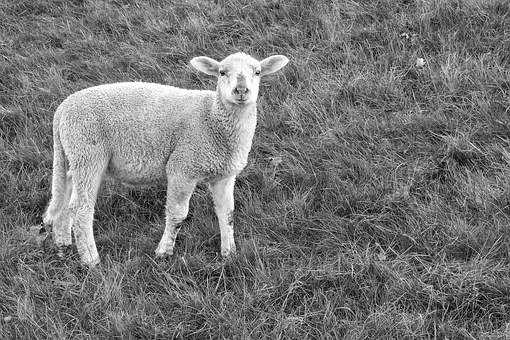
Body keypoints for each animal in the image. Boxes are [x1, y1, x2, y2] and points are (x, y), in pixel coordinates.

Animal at [41, 52, 288, 266]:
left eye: (257, 72)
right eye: (221, 72)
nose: (241, 90)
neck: (212, 118)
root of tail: (62, 109)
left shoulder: (224, 175)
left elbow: (226, 213)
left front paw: (229, 252)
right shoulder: (183, 166)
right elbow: (178, 214)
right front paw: (164, 251)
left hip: (71, 156)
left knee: (64, 198)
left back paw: (63, 243)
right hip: (88, 151)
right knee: (80, 208)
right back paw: (91, 259)